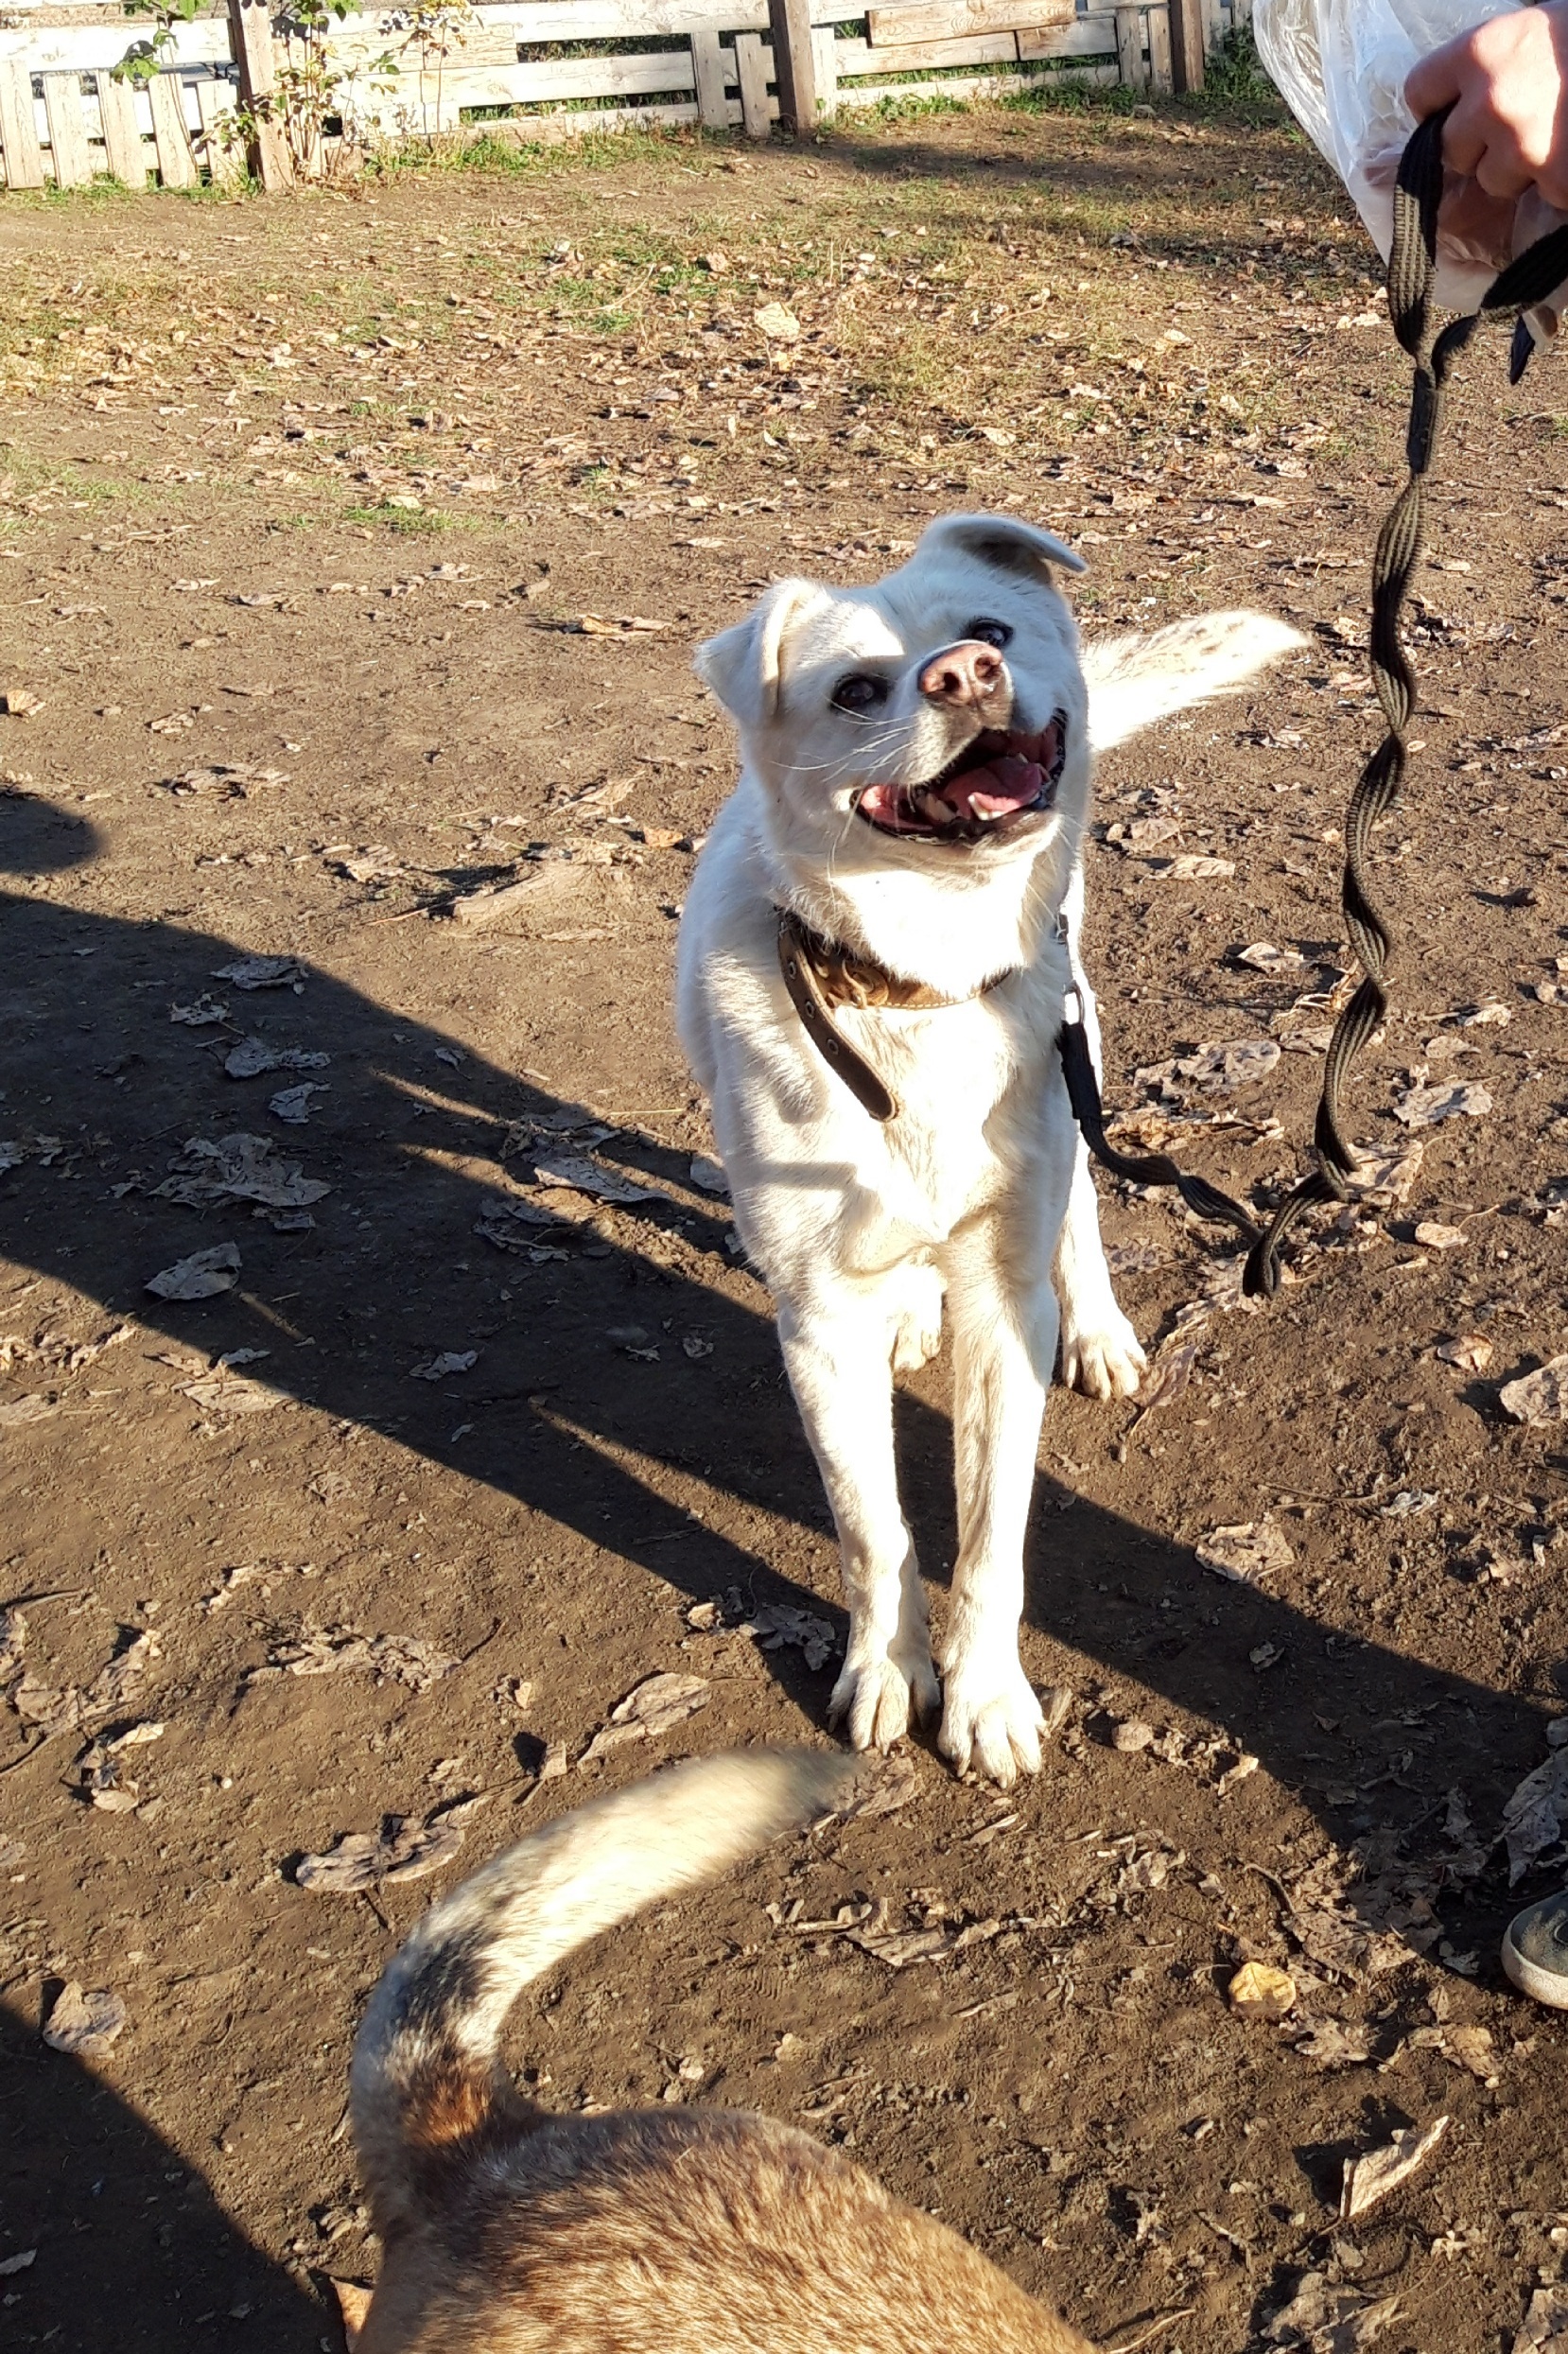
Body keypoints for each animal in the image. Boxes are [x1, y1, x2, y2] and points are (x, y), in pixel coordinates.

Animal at [672, 520, 1290, 1779]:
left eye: (989, 627)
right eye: (854, 688)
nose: (963, 672)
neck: (924, 986)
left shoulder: (1004, 1303)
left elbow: (988, 1536)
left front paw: (984, 1694)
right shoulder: (814, 1324)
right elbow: (872, 1527)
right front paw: (883, 1670)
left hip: (1073, 1048)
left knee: (1082, 1205)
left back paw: (1095, 1327)